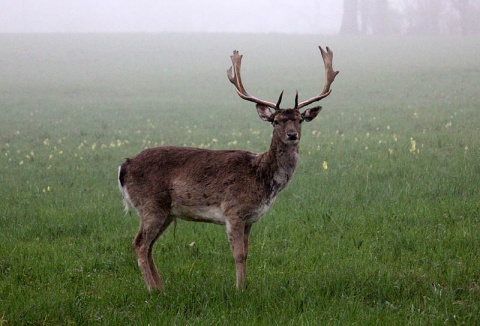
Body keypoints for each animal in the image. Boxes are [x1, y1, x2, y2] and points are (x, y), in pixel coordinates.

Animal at [118, 45, 340, 290]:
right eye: (276, 121)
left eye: (300, 120)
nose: (292, 135)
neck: (262, 178)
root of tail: (123, 167)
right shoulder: (233, 210)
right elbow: (239, 254)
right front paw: (239, 289)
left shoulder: (250, 218)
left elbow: (248, 253)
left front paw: (244, 286)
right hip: (150, 205)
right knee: (139, 243)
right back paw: (151, 289)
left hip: (165, 211)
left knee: (149, 246)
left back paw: (161, 288)